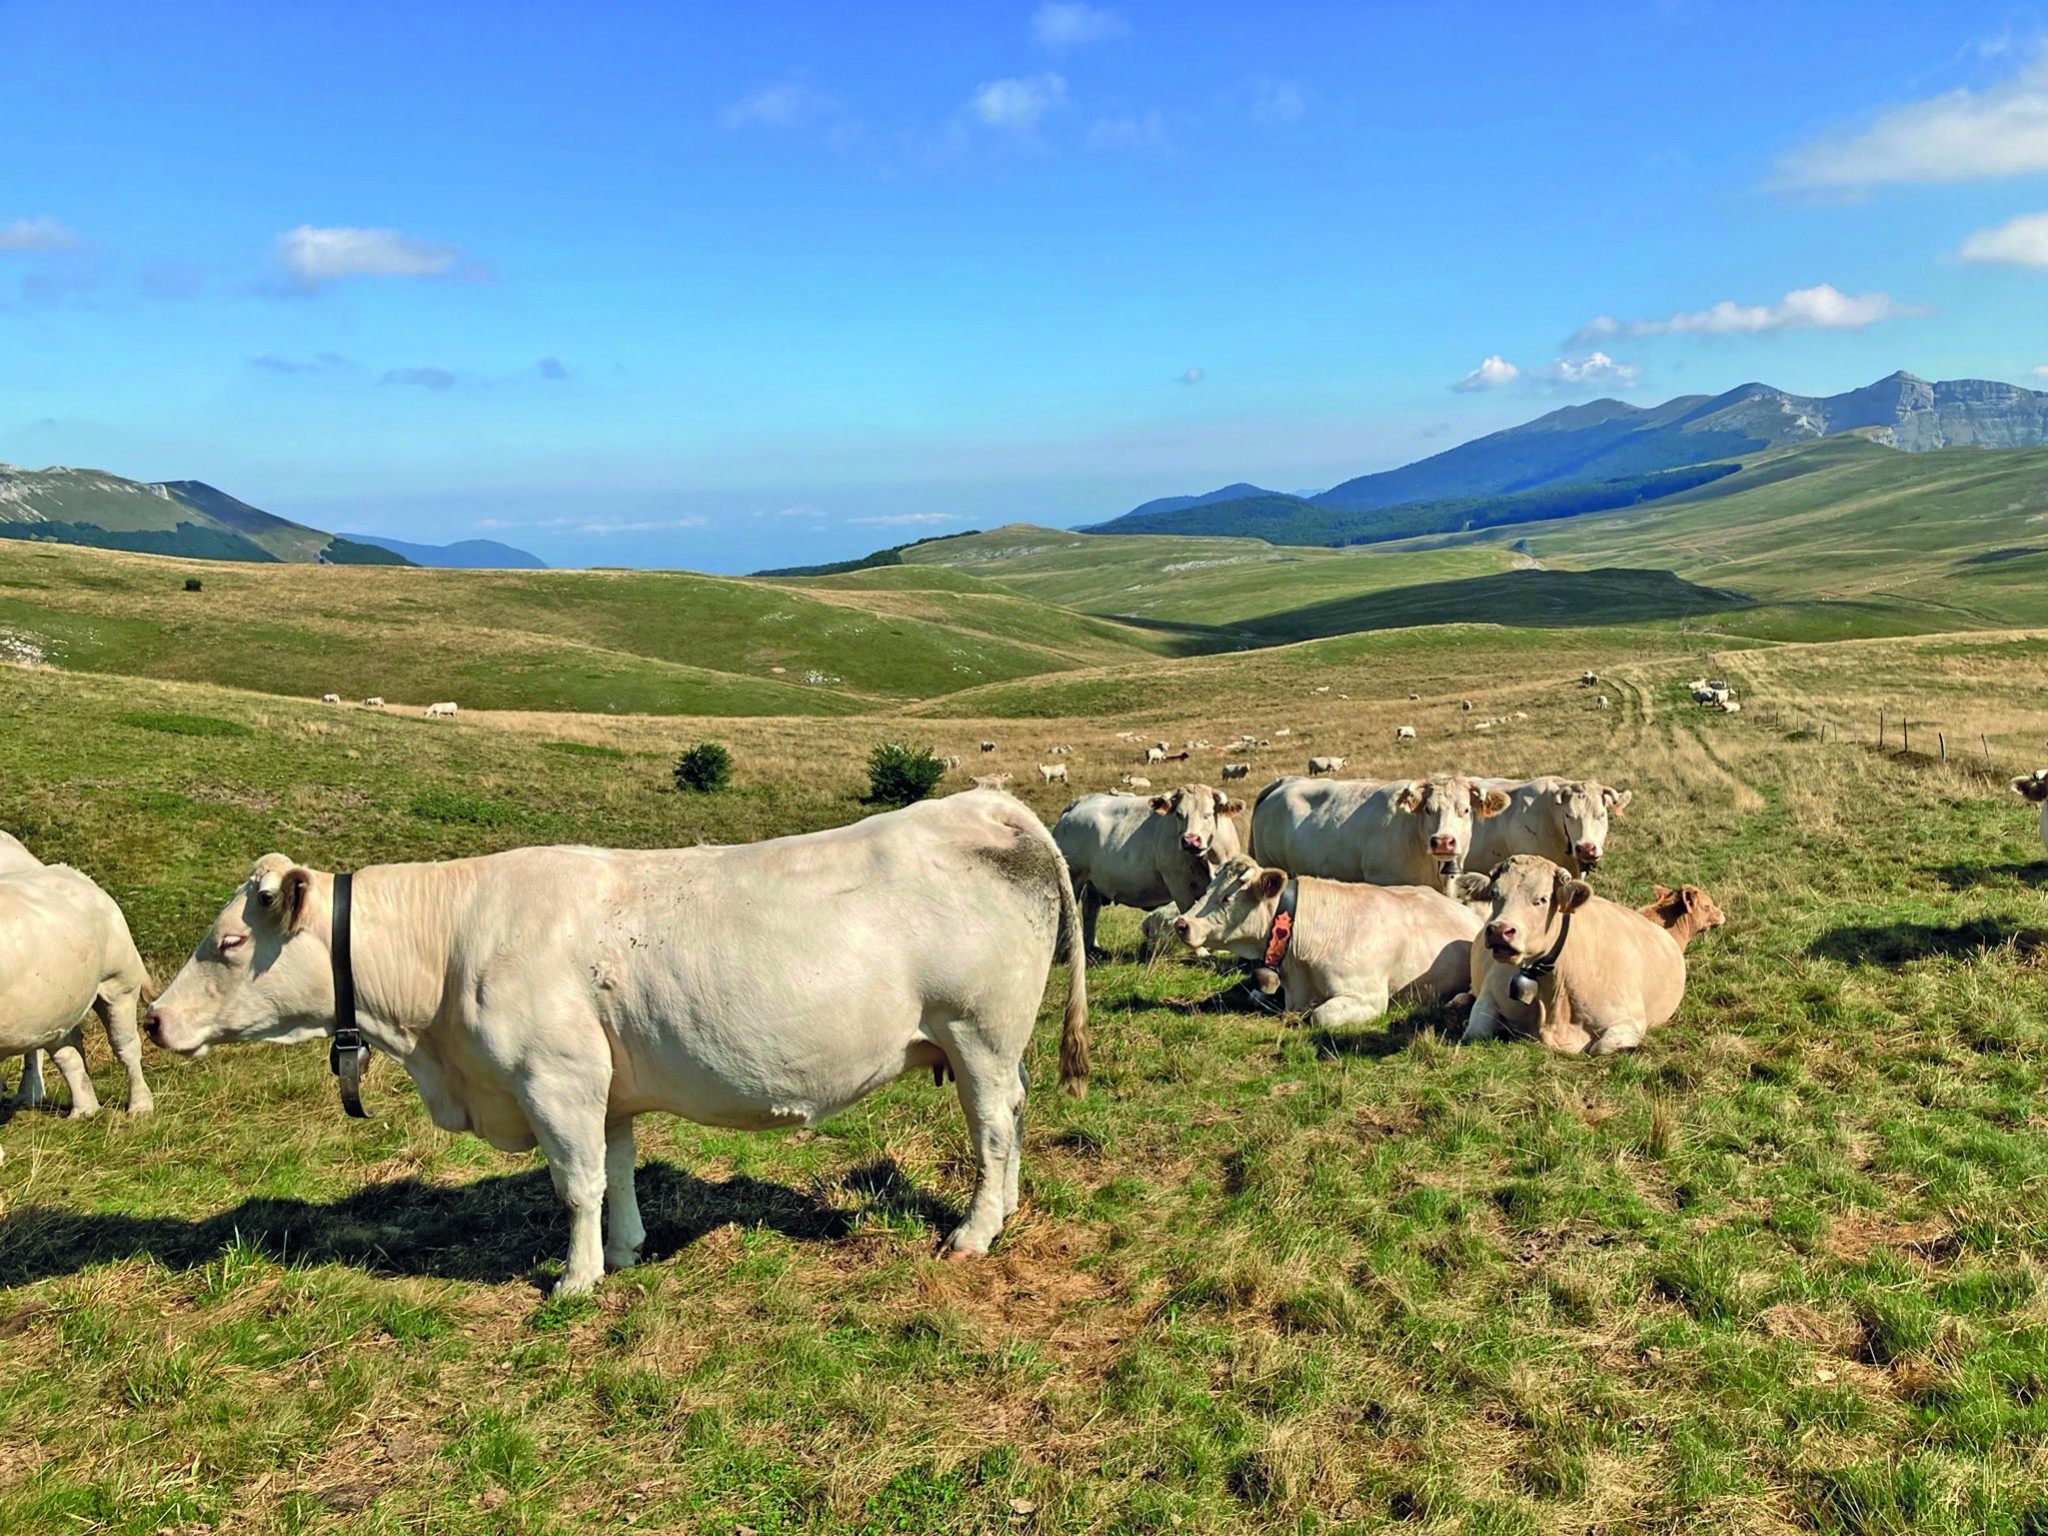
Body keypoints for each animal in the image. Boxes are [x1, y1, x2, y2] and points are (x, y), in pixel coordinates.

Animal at [144, 794, 1089, 1302]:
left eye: (230, 941)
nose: (153, 1019)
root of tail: (987, 805)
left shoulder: (553, 1077)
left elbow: (575, 1185)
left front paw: (575, 1280)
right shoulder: (605, 1083)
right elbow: (620, 1169)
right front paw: (629, 1249)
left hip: (977, 1029)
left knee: (991, 1126)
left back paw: (975, 1231)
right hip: (991, 1041)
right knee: (1011, 1116)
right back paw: (1004, 1211)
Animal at [1171, 856, 1474, 1036]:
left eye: (1227, 897)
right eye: (1208, 889)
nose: (1182, 923)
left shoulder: (1370, 998)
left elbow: (1319, 1016)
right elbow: (1256, 995)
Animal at [1458, 856, 1728, 1056]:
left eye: (1542, 899)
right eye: (1495, 894)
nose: (1500, 931)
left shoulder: (1630, 1023)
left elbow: (1599, 1047)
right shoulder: (1490, 994)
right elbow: (1476, 1031)